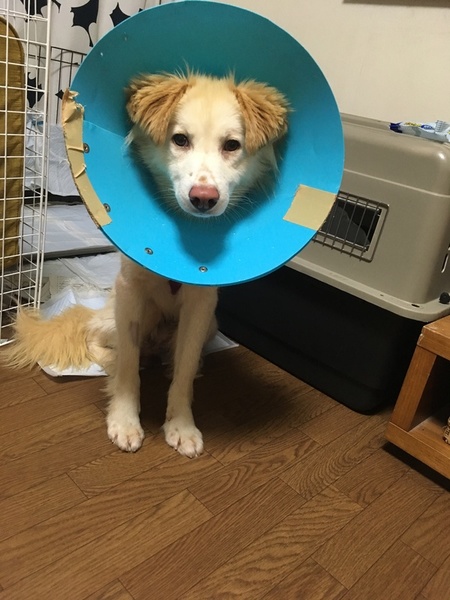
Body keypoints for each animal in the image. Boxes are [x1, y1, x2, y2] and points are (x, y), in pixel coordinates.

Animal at [4, 73, 289, 457]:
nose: (203, 199)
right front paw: (125, 420)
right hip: (119, 318)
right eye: (180, 139)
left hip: (210, 324)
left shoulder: (202, 304)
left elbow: (184, 372)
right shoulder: (130, 293)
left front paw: (181, 425)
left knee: (177, 356)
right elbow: (127, 367)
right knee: (97, 340)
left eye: (232, 145)